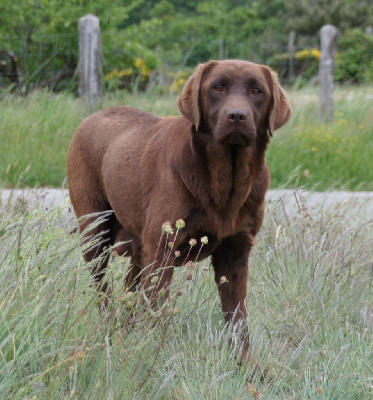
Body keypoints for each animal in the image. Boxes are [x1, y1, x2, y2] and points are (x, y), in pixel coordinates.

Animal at [67, 60, 290, 362]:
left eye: (257, 91)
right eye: (217, 87)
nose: (237, 116)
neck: (225, 185)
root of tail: (91, 117)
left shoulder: (236, 253)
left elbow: (238, 319)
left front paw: (246, 367)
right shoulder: (163, 248)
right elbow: (156, 311)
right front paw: (152, 357)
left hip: (139, 248)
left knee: (130, 292)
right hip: (95, 233)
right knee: (104, 293)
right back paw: (110, 333)